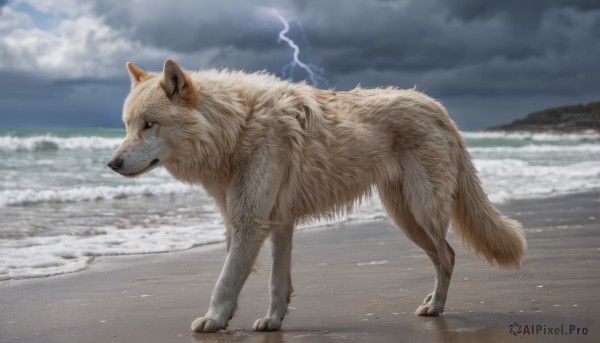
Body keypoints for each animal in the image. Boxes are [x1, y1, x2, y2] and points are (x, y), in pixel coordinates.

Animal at [108, 59, 524, 334]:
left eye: (149, 125)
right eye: (127, 126)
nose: (112, 163)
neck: (237, 126)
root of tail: (440, 109)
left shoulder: (250, 224)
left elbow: (226, 279)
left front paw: (213, 320)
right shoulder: (277, 224)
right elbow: (277, 282)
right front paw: (273, 321)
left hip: (421, 212)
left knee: (448, 256)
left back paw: (436, 307)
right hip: (404, 216)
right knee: (443, 257)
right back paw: (431, 303)